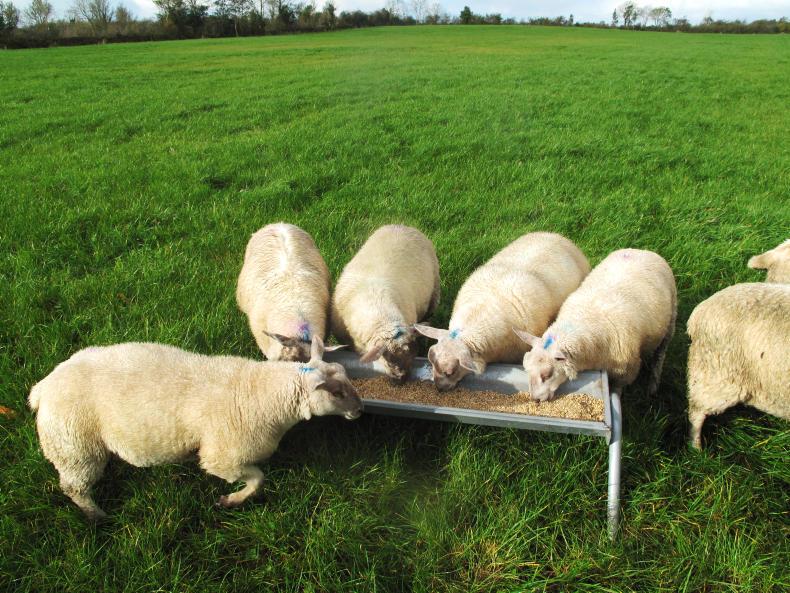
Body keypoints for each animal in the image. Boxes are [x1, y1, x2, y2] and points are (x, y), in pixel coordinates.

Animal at [28, 336, 362, 520]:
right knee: (73, 487)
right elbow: (258, 479)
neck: (258, 391)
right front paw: (231, 500)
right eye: (336, 392)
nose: (359, 409)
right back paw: (96, 515)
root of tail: (42, 388)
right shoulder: (222, 458)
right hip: (74, 446)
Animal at [515, 248, 676, 401]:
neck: (585, 318)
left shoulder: (626, 372)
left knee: (660, 355)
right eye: (526, 368)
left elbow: (616, 391)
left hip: (671, 321)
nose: (535, 400)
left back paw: (653, 386)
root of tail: (642, 250)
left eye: (547, 375)